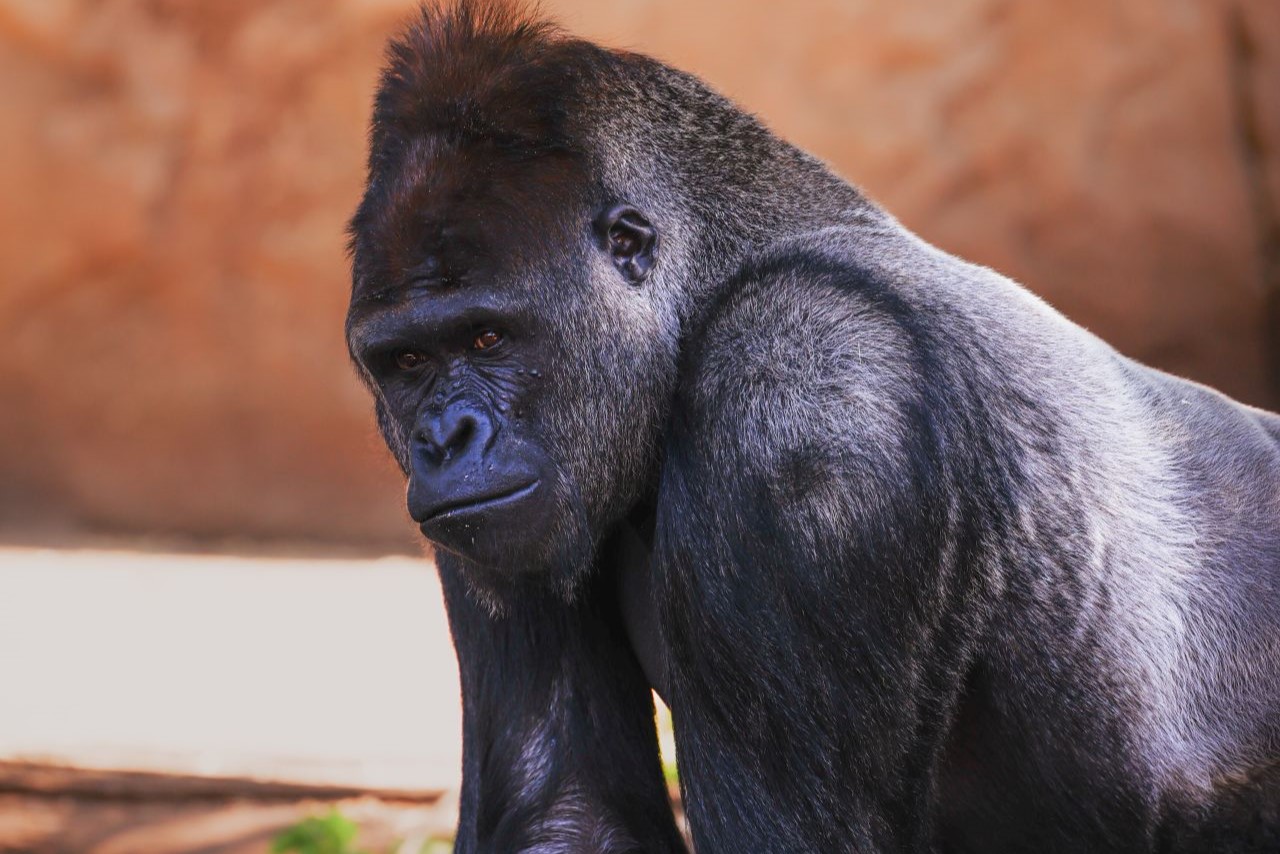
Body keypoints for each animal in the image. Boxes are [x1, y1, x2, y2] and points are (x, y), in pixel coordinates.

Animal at [344, 2, 1280, 851]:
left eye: (488, 337)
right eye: (406, 363)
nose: (443, 440)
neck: (717, 280)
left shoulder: (806, 410)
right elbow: (571, 808)